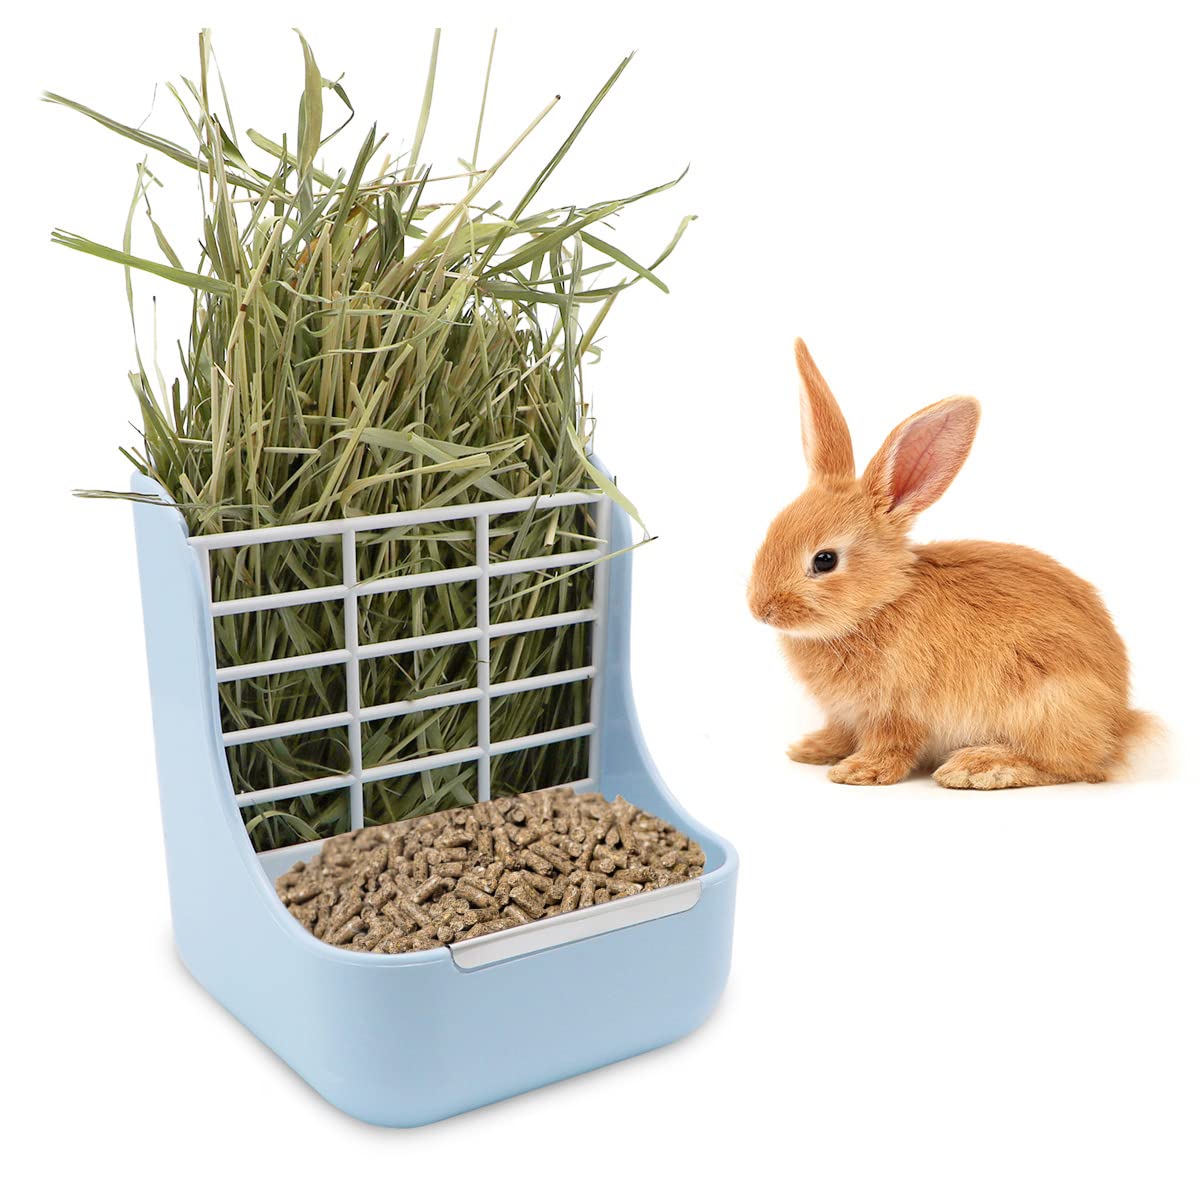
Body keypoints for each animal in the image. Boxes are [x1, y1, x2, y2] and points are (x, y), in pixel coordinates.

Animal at [747, 338, 1154, 789]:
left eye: (824, 560)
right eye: (772, 529)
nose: (760, 609)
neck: (881, 604)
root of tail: (1119, 725)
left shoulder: (897, 710)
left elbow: (892, 745)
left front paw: (858, 771)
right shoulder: (847, 714)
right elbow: (840, 731)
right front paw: (811, 750)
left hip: (1047, 701)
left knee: (1069, 764)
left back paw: (978, 766)